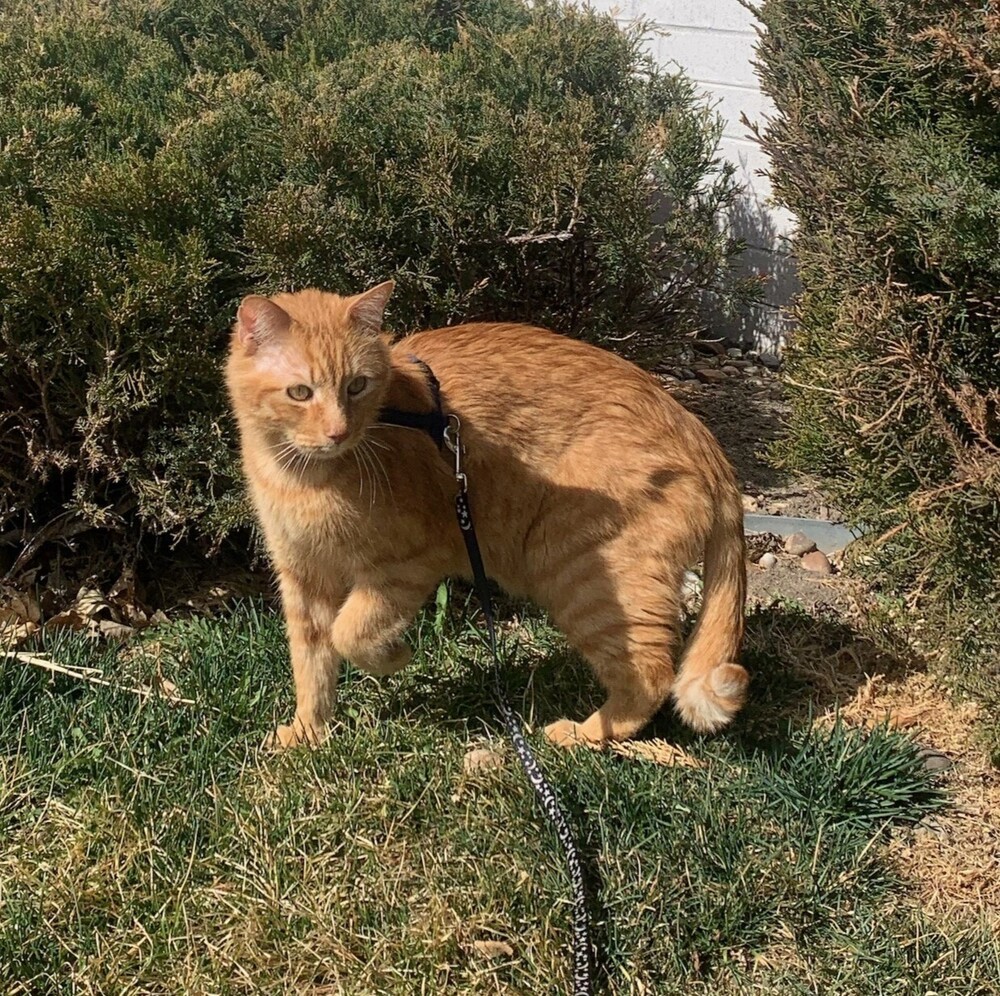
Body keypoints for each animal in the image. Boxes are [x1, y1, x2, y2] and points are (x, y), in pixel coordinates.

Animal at [225, 280, 744, 748]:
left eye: (357, 386)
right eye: (300, 392)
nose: (338, 432)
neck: (302, 474)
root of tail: (707, 444)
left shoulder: (408, 564)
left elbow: (349, 633)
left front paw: (396, 656)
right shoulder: (303, 577)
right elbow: (312, 663)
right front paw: (308, 733)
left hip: (584, 577)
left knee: (651, 674)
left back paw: (583, 734)